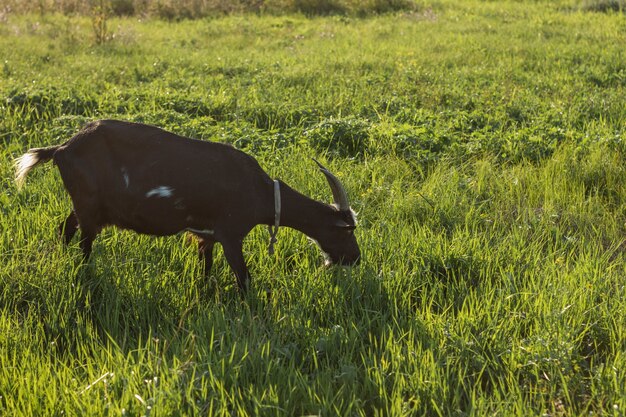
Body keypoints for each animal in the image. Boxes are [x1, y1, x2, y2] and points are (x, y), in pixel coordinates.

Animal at [14, 118, 358, 290]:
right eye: (345, 231)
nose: (355, 258)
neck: (261, 192)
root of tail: (62, 148)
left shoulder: (208, 236)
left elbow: (206, 270)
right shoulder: (230, 233)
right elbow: (244, 278)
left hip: (87, 206)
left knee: (65, 227)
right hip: (89, 207)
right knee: (84, 244)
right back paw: (84, 276)